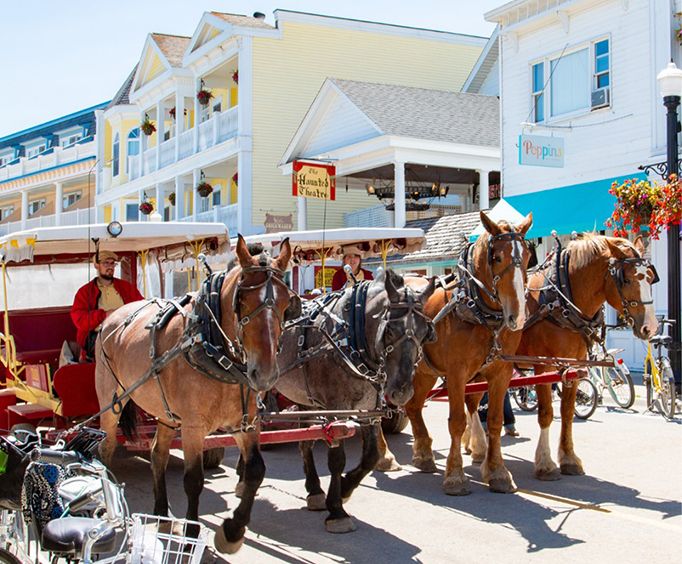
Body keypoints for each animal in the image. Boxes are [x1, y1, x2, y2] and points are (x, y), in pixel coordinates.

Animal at [93, 235, 294, 556]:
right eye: (241, 300)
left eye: (288, 302)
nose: (264, 374)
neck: (214, 348)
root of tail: (112, 319)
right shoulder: (192, 426)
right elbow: (193, 479)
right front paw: (191, 532)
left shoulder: (246, 422)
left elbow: (255, 471)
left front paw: (232, 531)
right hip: (112, 402)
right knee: (107, 448)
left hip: (164, 412)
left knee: (157, 454)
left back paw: (161, 514)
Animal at [268, 270, 432, 532]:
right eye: (389, 331)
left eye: (425, 333)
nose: (401, 392)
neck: (350, 336)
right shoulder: (336, 409)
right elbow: (337, 459)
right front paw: (337, 510)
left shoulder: (370, 409)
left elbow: (372, 455)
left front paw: (344, 490)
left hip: (305, 399)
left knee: (305, 443)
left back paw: (314, 490)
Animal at [378, 212, 532, 494]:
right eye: (497, 257)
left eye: (527, 256)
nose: (517, 316)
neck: (478, 309)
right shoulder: (457, 373)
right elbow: (458, 421)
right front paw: (455, 476)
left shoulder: (500, 372)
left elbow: (494, 420)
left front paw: (498, 473)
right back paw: (384, 455)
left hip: (423, 371)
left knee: (413, 405)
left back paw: (424, 454)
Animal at [464, 234, 656, 480]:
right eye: (627, 280)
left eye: (650, 277)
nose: (650, 327)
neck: (561, 301)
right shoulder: (543, 367)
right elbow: (546, 413)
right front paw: (545, 463)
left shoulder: (572, 367)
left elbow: (567, 413)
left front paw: (569, 458)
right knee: (471, 400)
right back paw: (479, 446)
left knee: (470, 400)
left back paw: (473, 445)